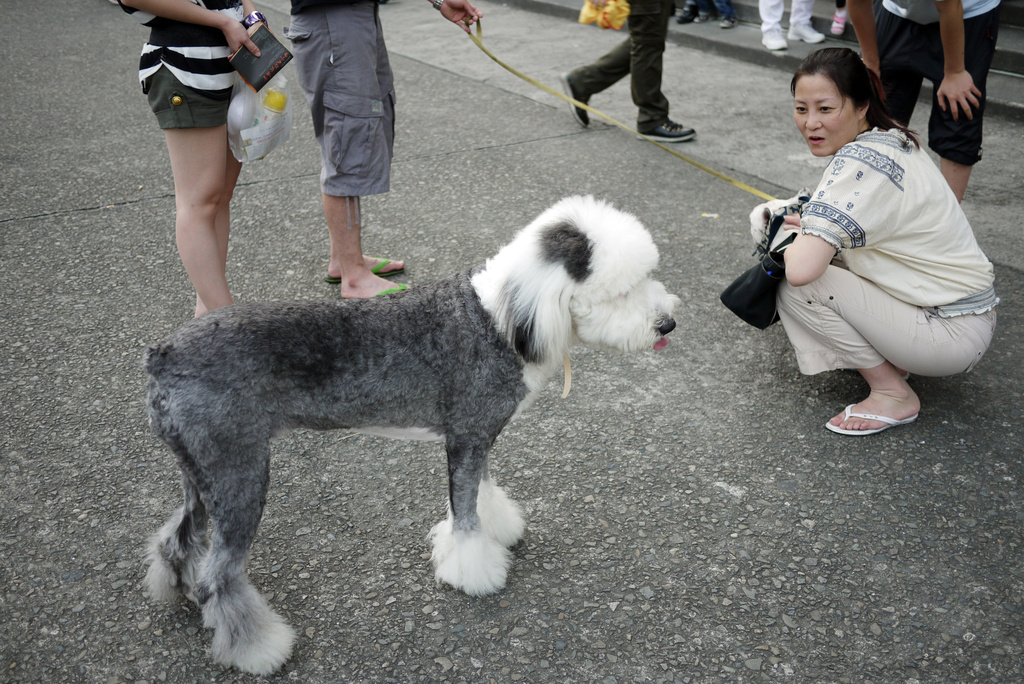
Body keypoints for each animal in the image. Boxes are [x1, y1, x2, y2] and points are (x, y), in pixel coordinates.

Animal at [140, 193, 675, 671]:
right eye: (622, 290)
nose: (668, 324)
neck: (502, 318)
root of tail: (162, 355)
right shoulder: (467, 435)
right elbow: (465, 514)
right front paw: (473, 571)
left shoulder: (478, 436)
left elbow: (480, 494)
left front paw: (498, 527)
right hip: (240, 473)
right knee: (219, 576)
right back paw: (259, 649)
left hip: (201, 469)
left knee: (181, 536)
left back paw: (177, 587)